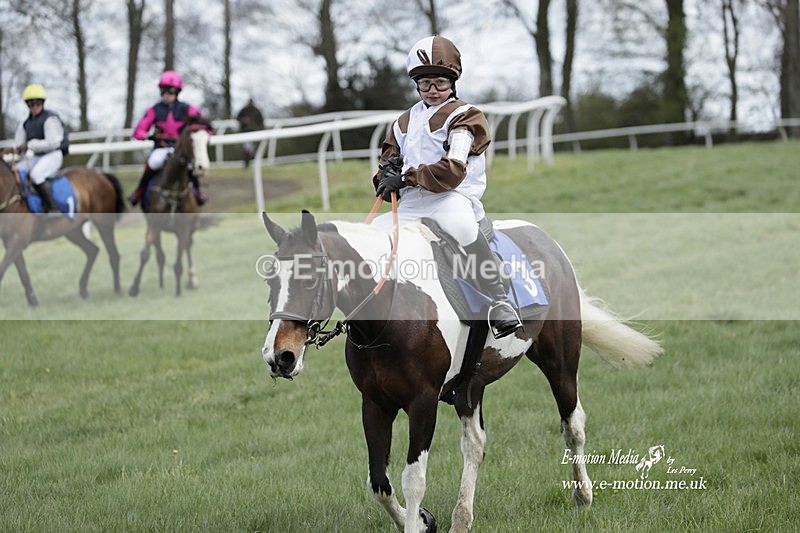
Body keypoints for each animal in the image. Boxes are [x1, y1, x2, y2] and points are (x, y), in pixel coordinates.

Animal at [0, 158, 125, 306]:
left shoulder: (18, 241)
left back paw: (117, 290)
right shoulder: (10, 242)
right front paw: (33, 301)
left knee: (113, 255)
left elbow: (3, 269)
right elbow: (22, 272)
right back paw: (83, 290)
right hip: (72, 231)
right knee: (92, 250)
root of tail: (100, 174)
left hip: (104, 224)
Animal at [128, 119, 211, 297]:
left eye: (207, 140)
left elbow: (179, 260)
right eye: (191, 140)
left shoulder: (183, 226)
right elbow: (146, 254)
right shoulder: (154, 224)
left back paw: (192, 279)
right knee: (160, 253)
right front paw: (134, 287)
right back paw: (161, 283)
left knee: (188, 246)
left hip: (193, 225)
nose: (202, 167)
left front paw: (178, 292)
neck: (173, 188)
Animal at [260, 210, 663, 533]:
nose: (280, 356)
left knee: (572, 423)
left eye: (309, 279)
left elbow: (413, 478)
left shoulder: (423, 403)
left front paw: (416, 522)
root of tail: (546, 241)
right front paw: (423, 520)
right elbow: (379, 482)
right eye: (271, 281)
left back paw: (582, 494)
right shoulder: (375, 403)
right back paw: (462, 517)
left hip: (560, 361)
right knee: (475, 445)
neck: (394, 307)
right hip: (471, 387)